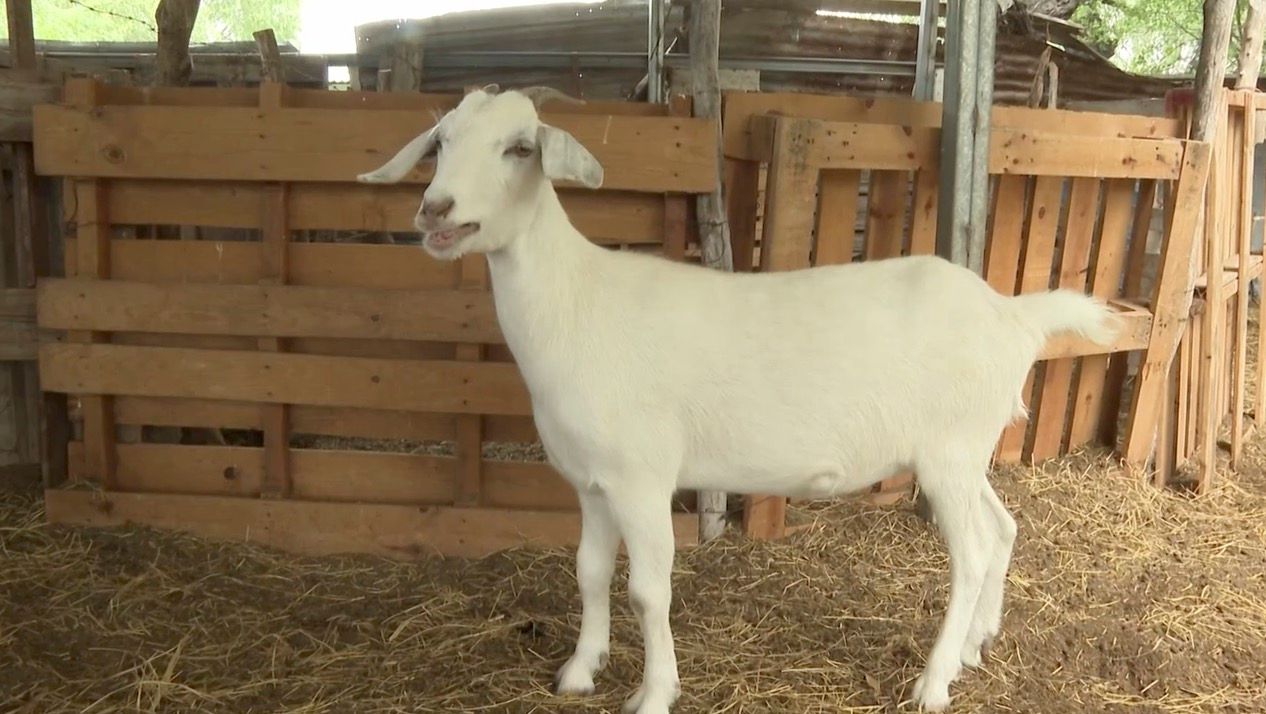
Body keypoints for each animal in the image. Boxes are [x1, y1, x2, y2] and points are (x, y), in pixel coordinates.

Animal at [357, 85, 1118, 713]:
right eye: (441, 141)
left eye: (520, 147)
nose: (435, 209)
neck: (575, 304)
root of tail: (1011, 314)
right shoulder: (591, 482)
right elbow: (590, 573)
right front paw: (579, 670)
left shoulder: (641, 477)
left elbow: (647, 591)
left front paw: (653, 694)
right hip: (965, 450)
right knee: (1003, 528)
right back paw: (974, 647)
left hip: (949, 452)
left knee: (973, 554)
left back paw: (935, 682)